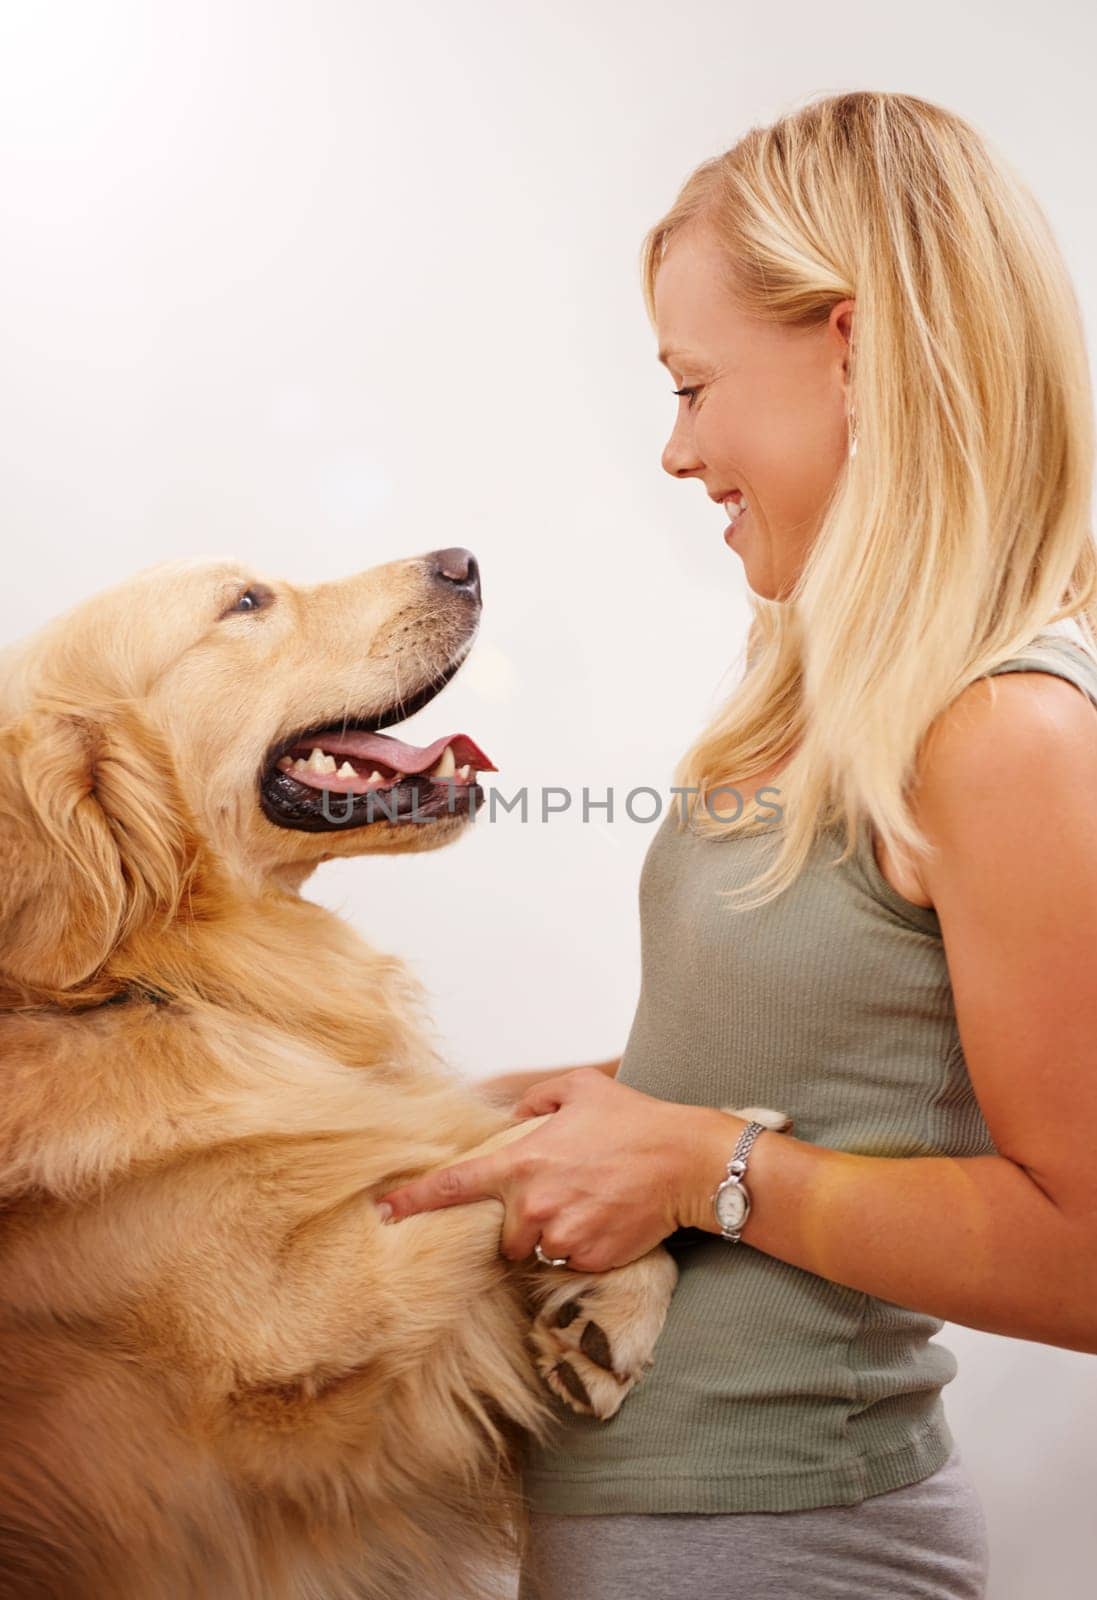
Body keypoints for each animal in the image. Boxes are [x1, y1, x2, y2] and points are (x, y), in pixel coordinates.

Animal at [0, 550, 789, 1600]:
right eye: (245, 602)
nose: (463, 561)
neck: (159, 983)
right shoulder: (308, 1315)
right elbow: (500, 1156)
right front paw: (688, 1145)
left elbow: (504, 1127)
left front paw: (603, 1305)